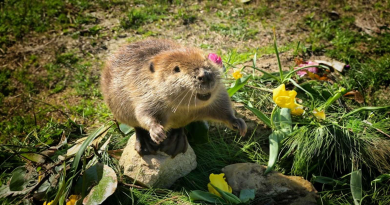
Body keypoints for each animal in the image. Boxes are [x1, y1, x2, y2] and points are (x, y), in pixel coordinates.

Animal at [101, 38, 247, 157]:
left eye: (206, 60)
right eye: (177, 69)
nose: (205, 75)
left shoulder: (218, 95)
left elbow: (223, 108)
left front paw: (239, 124)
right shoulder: (144, 93)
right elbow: (143, 114)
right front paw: (158, 133)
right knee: (136, 125)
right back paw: (145, 144)